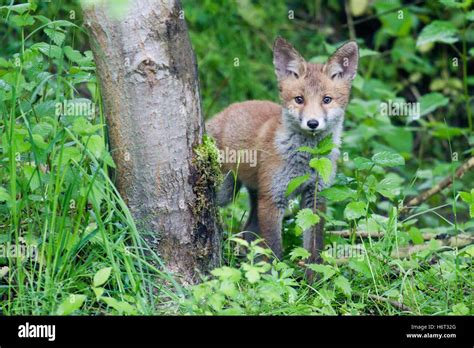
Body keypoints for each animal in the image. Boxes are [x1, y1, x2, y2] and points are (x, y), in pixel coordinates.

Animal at [206, 37, 358, 260]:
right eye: (299, 99)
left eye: (326, 100)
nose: (313, 123)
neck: (305, 161)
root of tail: (218, 115)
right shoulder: (272, 198)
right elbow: (274, 252)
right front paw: (277, 271)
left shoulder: (315, 197)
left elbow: (314, 248)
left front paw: (312, 271)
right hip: (226, 191)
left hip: (254, 194)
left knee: (248, 232)